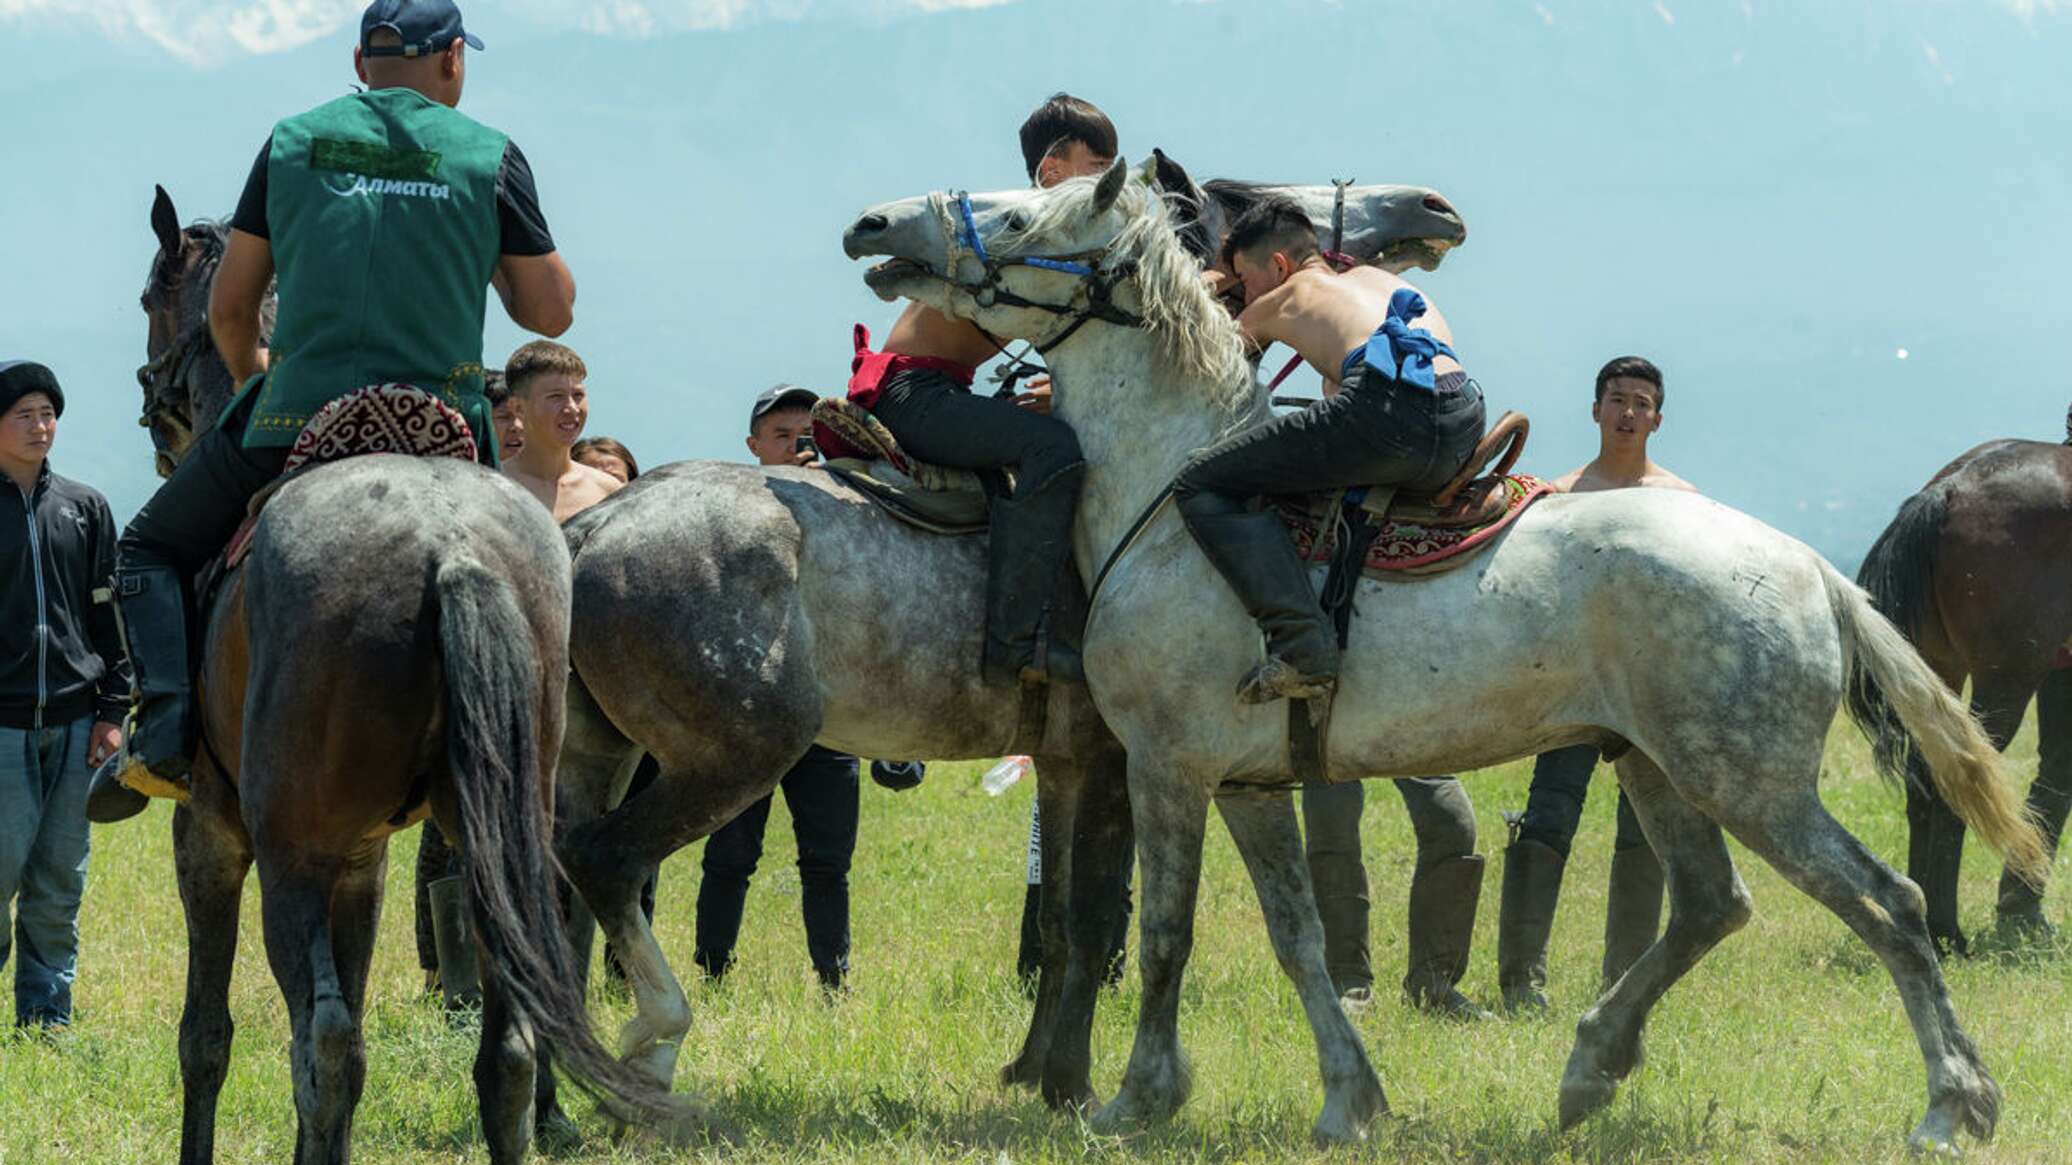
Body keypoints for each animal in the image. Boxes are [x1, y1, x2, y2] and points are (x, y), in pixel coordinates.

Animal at [139, 185, 687, 1152]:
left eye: (147, 301)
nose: (156, 423)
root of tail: (452, 549)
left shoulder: (209, 836)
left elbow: (209, 1035)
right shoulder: (364, 860)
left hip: (290, 855)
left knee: (323, 1044)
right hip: (494, 845)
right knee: (505, 1051)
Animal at [1856, 435, 2063, 953]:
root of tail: (1949, 489)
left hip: (1934, 670)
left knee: (1925, 782)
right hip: (2005, 679)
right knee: (1964, 777)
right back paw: (1948, 932)